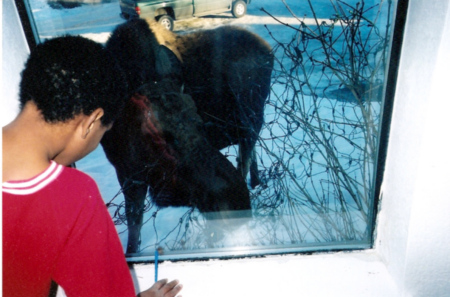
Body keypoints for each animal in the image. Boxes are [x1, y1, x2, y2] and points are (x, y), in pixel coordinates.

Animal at [101, 19, 274, 252]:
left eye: (200, 122)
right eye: (157, 136)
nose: (235, 200)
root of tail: (269, 49)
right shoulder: (128, 173)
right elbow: (133, 230)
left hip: (251, 120)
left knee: (244, 159)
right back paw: (256, 183)